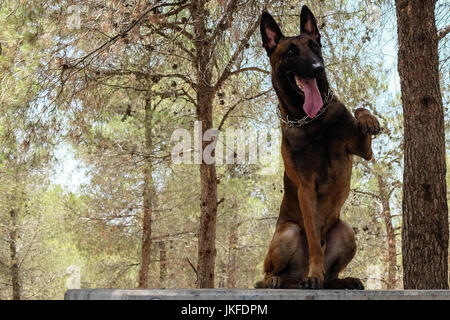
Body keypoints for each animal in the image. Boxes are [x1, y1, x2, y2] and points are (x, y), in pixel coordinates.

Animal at [256, 5, 380, 290]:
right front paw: (314, 273)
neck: (312, 120)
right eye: (291, 52)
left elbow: (361, 110)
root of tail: (295, 277)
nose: (317, 67)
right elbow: (313, 239)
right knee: (270, 271)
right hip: (288, 232)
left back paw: (342, 280)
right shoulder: (306, 188)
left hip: (346, 231)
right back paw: (280, 279)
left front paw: (368, 119)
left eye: (315, 46)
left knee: (330, 275)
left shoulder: (363, 150)